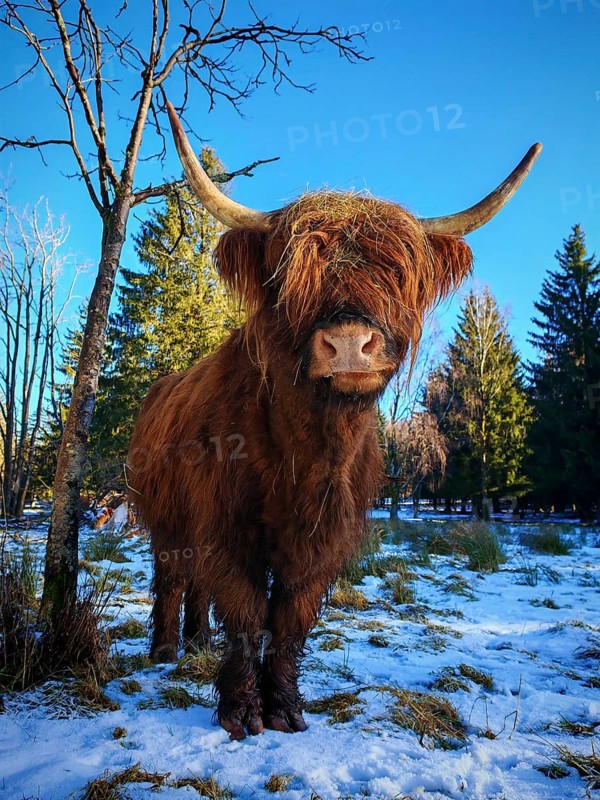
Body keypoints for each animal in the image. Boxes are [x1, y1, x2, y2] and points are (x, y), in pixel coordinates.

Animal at [127, 102, 541, 740]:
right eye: (289, 277)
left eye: (398, 275)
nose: (349, 343)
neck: (308, 453)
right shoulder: (225, 524)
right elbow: (245, 608)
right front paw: (241, 712)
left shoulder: (323, 540)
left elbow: (290, 617)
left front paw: (285, 707)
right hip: (168, 518)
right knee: (174, 576)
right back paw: (169, 649)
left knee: (195, 582)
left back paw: (196, 642)